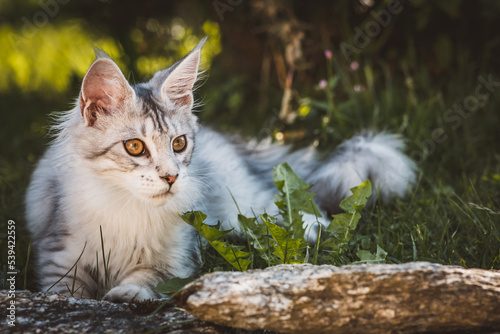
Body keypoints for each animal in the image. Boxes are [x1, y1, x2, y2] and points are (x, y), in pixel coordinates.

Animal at [27, 37, 418, 304]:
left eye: (179, 144)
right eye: (135, 147)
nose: (171, 176)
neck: (129, 209)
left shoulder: (178, 260)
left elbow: (147, 277)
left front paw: (127, 294)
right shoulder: (60, 257)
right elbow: (66, 292)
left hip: (246, 208)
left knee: (288, 213)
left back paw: (314, 229)